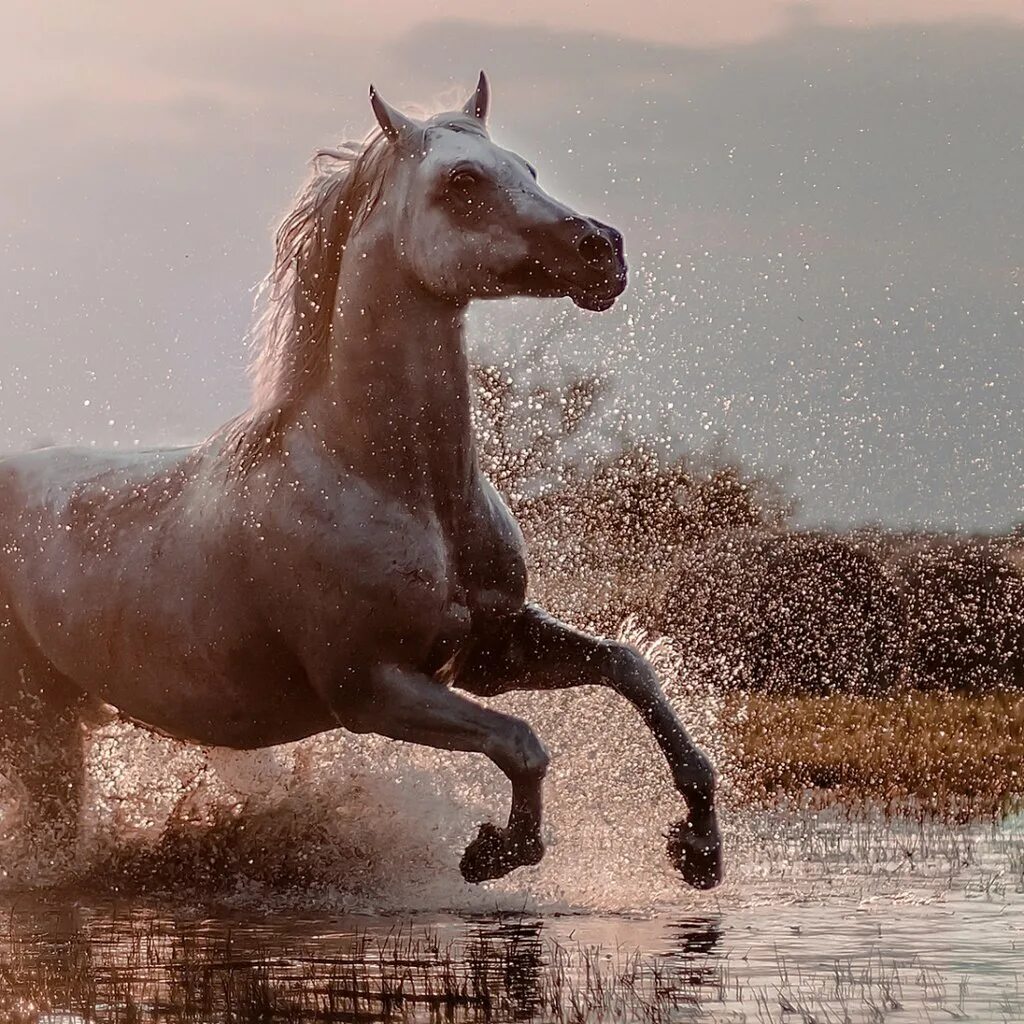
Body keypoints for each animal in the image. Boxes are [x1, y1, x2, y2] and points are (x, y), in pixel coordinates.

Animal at [0, 74, 720, 888]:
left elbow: (631, 669)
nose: (602, 251)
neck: (389, 483)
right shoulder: (372, 688)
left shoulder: (492, 653)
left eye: (527, 169)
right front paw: (495, 850)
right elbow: (522, 743)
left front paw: (698, 847)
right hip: (32, 718)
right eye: (462, 180)